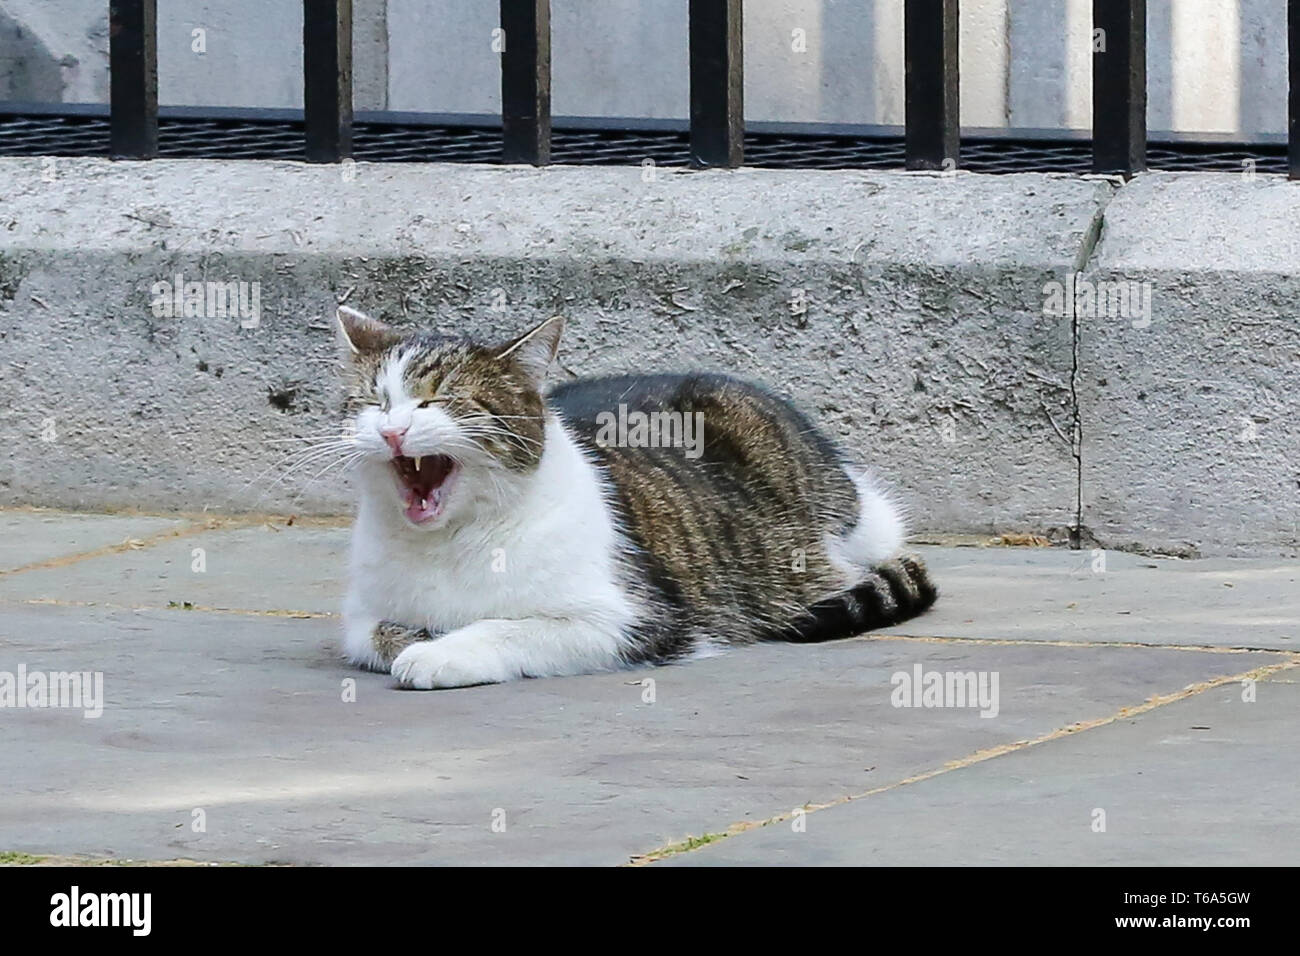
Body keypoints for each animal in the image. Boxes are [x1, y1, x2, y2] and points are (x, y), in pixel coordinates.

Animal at [330, 310, 930, 691]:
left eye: (439, 401)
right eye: (374, 402)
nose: (391, 430)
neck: (450, 540)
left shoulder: (634, 619)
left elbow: (512, 627)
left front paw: (441, 651)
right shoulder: (359, 617)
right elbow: (379, 635)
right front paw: (421, 635)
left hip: (852, 520)